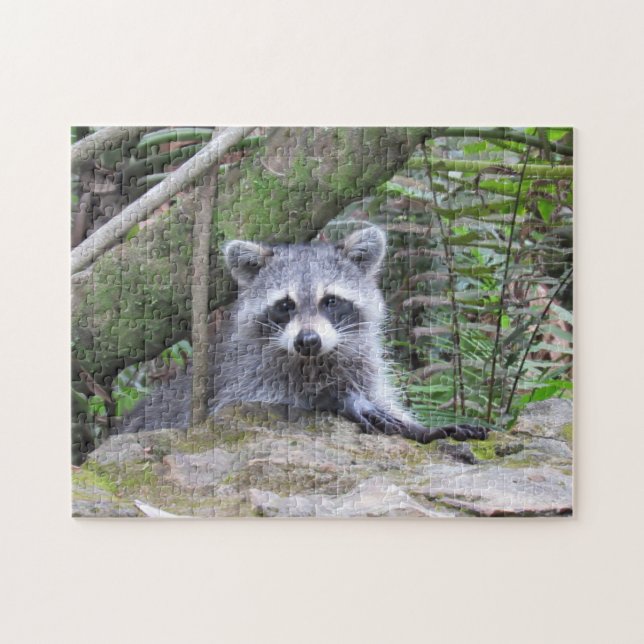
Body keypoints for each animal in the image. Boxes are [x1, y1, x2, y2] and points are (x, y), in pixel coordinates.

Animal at [122, 226, 486, 444]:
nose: (307, 341)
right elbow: (267, 401)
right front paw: (339, 398)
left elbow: (382, 398)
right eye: (285, 305)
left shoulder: (361, 363)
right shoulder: (244, 375)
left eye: (331, 301)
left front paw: (421, 427)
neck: (316, 360)